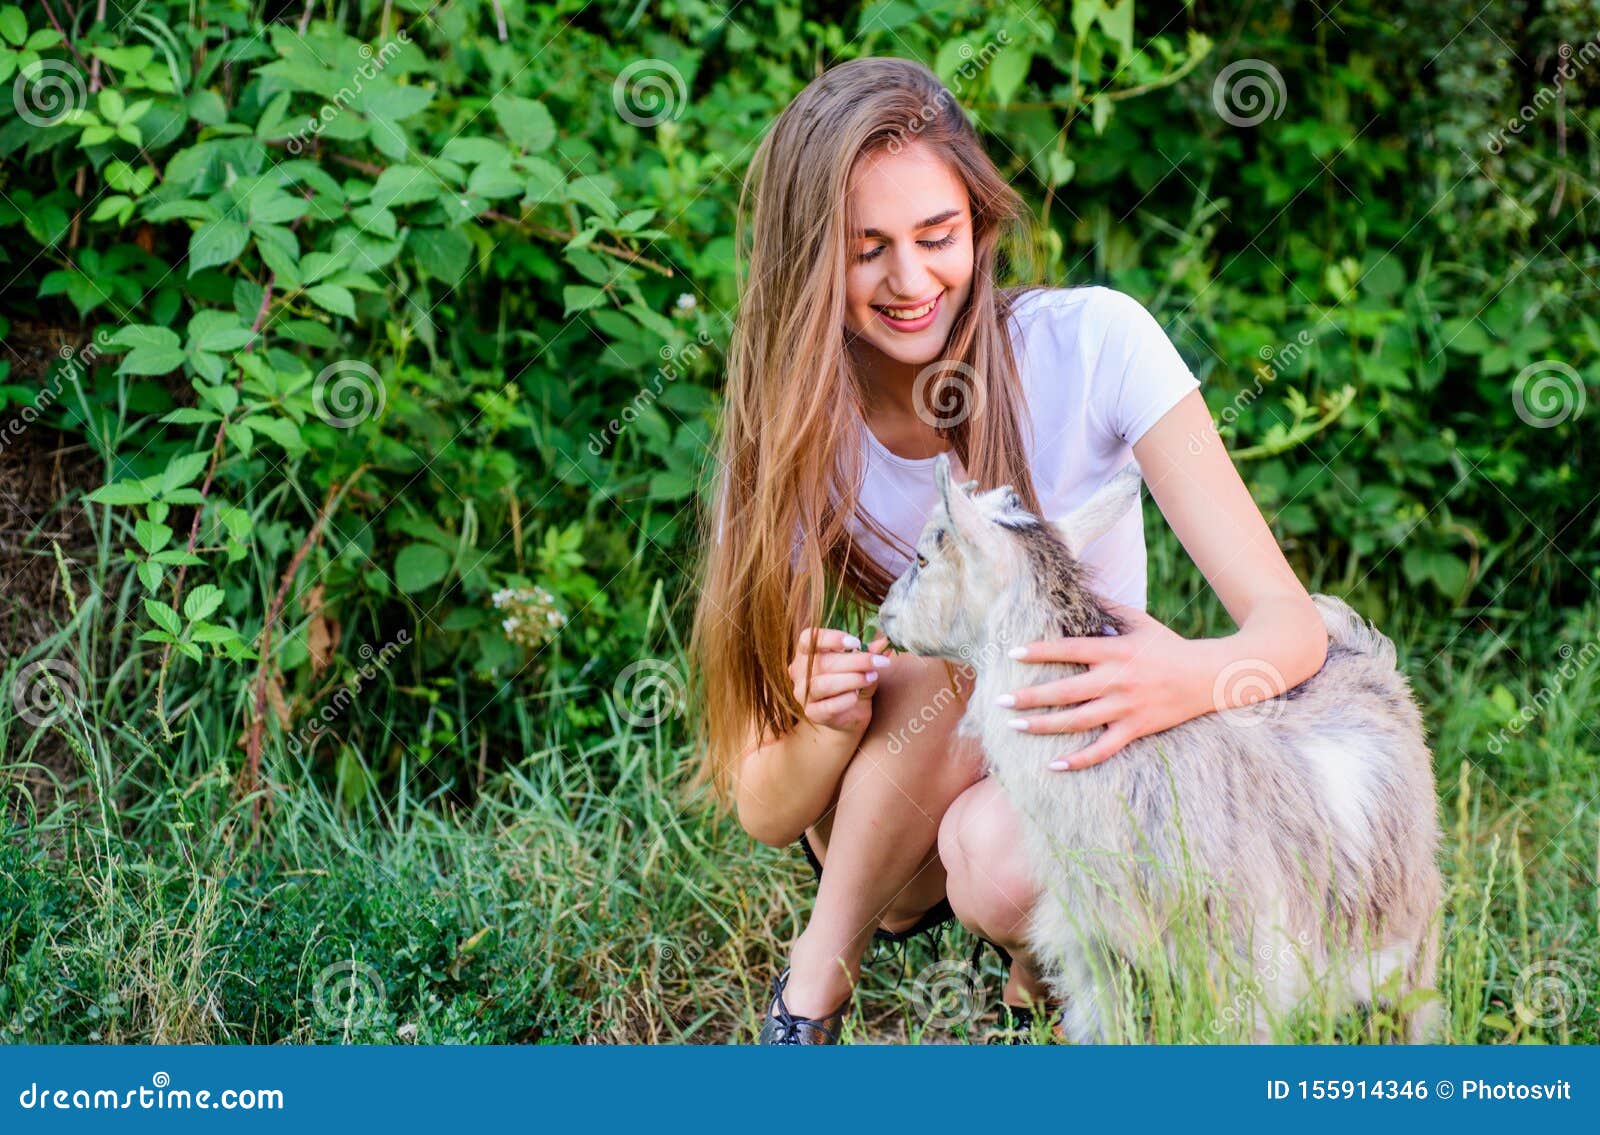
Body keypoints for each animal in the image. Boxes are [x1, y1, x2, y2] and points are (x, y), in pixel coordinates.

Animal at [883, 454, 1446, 1037]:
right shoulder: (1094, 948)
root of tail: (1361, 649)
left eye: (922, 557)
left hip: (1407, 918)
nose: (885, 613)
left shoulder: (1246, 961)